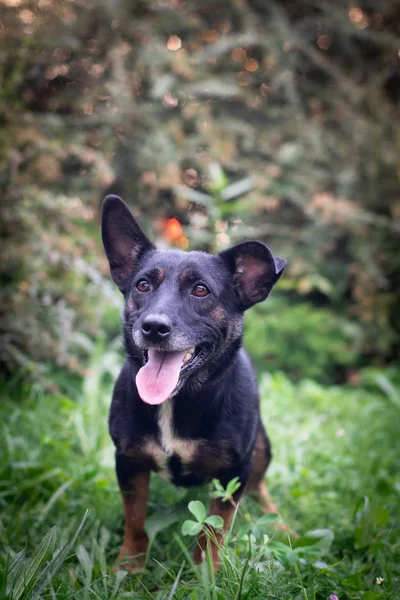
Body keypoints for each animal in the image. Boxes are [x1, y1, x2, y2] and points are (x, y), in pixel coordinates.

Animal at [101, 196, 286, 572]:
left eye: (201, 290)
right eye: (143, 285)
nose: (154, 327)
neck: (179, 398)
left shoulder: (234, 470)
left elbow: (213, 531)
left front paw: (207, 574)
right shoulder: (128, 461)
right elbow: (135, 521)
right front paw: (128, 567)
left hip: (261, 447)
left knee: (260, 488)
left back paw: (280, 523)